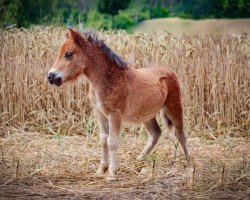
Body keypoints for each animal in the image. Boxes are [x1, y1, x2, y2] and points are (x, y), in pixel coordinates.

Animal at [47, 28, 188, 180]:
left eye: (68, 54)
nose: (50, 76)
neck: (108, 78)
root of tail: (171, 71)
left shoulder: (115, 114)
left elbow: (112, 142)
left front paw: (112, 173)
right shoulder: (100, 114)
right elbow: (103, 140)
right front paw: (101, 170)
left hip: (173, 107)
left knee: (180, 134)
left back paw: (189, 162)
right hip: (146, 115)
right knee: (155, 133)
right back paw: (139, 160)